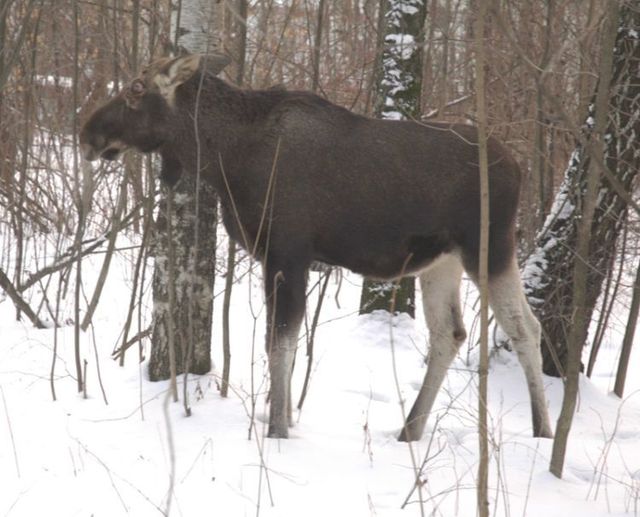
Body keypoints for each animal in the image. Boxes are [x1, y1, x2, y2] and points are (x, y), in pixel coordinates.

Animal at [80, 53, 553, 441]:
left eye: (136, 88)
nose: (87, 133)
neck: (225, 158)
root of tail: (518, 168)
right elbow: (280, 345)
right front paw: (286, 419)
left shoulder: (287, 252)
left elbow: (280, 345)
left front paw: (277, 429)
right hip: (440, 262)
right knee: (449, 333)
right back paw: (410, 430)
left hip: (489, 247)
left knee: (524, 326)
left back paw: (543, 431)